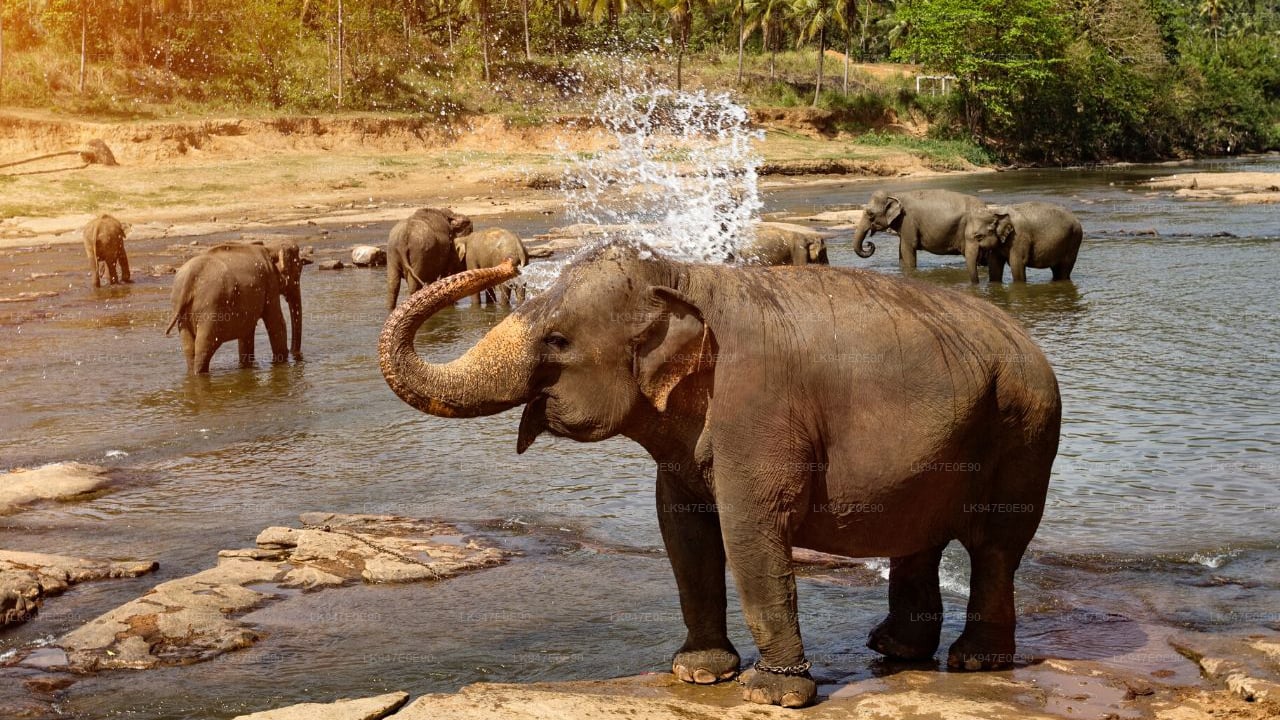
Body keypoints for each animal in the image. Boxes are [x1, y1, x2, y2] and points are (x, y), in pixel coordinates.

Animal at [166, 239, 304, 374]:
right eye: (298, 272)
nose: (294, 353)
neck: (270, 248)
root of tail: (190, 277)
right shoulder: (270, 282)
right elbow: (276, 322)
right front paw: (281, 363)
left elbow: (247, 332)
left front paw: (247, 365)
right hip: (211, 308)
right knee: (204, 346)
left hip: (182, 310)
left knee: (189, 348)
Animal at [378, 243, 1061, 708]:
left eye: (557, 340)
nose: (506, 266)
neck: (682, 276)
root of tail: (1026, 339)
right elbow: (682, 533)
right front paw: (700, 673)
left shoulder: (758, 408)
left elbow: (750, 528)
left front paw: (771, 696)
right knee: (918, 538)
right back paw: (893, 650)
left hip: (1024, 429)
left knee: (996, 546)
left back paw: (973, 663)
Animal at [850, 189, 989, 277]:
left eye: (870, 213)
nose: (869, 243)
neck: (895, 194)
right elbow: (901, 250)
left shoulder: (908, 220)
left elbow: (907, 248)